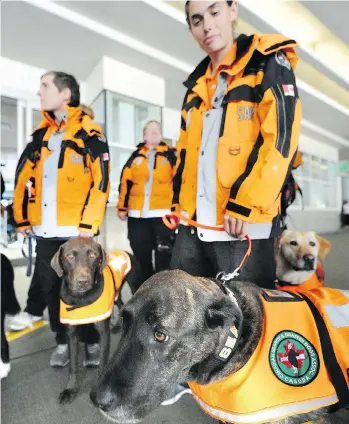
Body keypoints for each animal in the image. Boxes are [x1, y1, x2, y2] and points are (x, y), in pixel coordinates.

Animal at [50, 237, 141, 406]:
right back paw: (118, 326)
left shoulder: (103, 333)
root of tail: (125, 251)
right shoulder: (72, 334)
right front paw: (70, 390)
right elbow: (73, 366)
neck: (81, 299)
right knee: (121, 303)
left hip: (135, 285)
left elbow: (103, 363)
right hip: (115, 293)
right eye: (69, 257)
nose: (83, 281)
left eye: (92, 255)